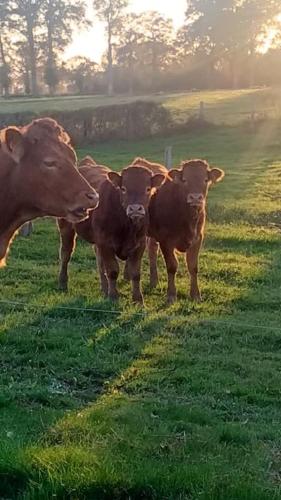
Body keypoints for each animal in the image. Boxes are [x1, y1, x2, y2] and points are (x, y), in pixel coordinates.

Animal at [148, 159, 224, 304]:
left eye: (206, 180)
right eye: (185, 180)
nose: (195, 198)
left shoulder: (197, 238)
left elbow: (193, 266)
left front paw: (195, 295)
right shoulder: (166, 241)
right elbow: (172, 266)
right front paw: (171, 295)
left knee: (152, 252)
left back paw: (154, 281)